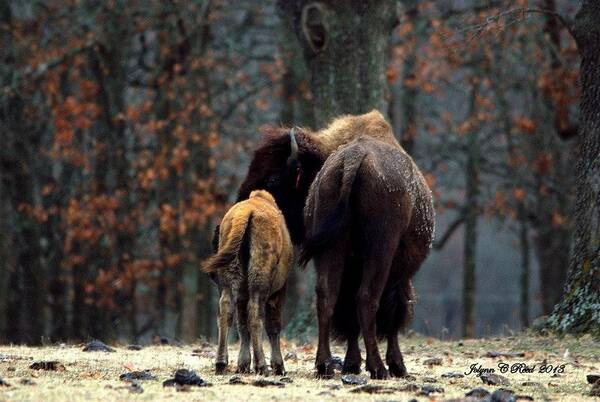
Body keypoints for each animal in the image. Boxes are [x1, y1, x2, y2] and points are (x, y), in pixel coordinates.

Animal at [203, 190, 294, 376]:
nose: (211, 275)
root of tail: (246, 213)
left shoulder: (241, 294)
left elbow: (242, 325)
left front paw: (243, 364)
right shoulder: (279, 291)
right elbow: (273, 325)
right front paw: (278, 366)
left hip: (230, 283)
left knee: (226, 311)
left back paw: (221, 364)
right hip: (260, 282)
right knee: (255, 315)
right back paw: (262, 366)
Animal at [232, 108, 434, 378]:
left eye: (272, 178)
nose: (243, 205)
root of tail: (352, 160)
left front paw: (352, 363)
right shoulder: (399, 272)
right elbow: (395, 309)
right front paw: (396, 365)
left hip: (332, 250)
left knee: (327, 297)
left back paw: (324, 365)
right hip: (380, 250)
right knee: (366, 298)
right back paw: (377, 368)